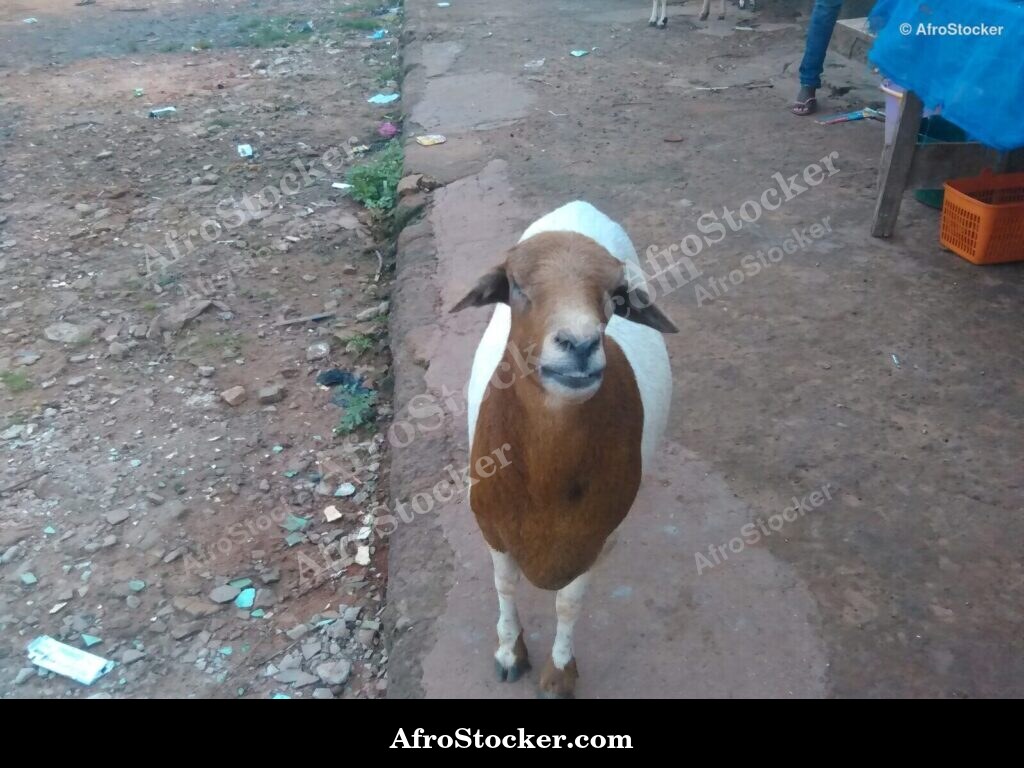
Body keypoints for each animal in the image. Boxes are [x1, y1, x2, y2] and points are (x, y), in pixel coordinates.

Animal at [450, 201, 677, 698]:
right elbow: (505, 584)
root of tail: (578, 207)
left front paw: (559, 674)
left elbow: (569, 605)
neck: (544, 481)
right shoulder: (491, 524)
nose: (580, 344)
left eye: (617, 295)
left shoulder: (594, 536)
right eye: (516, 286)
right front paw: (509, 652)